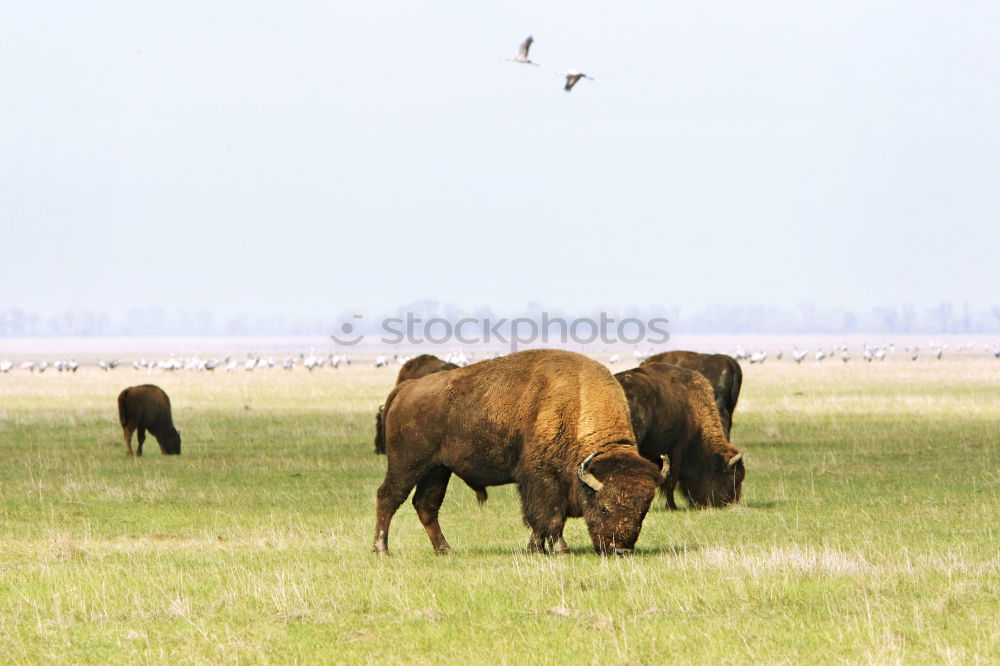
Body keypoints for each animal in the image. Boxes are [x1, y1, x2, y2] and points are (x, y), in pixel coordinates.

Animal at [372, 348, 660, 556]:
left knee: (426, 506)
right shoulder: (541, 478)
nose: (620, 550)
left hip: (437, 470)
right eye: (604, 508)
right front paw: (559, 550)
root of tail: (405, 389)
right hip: (407, 465)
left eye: (643, 510)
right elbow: (550, 517)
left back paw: (445, 549)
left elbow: (543, 520)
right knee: (388, 497)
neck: (577, 403)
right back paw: (381, 549)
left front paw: (536, 548)